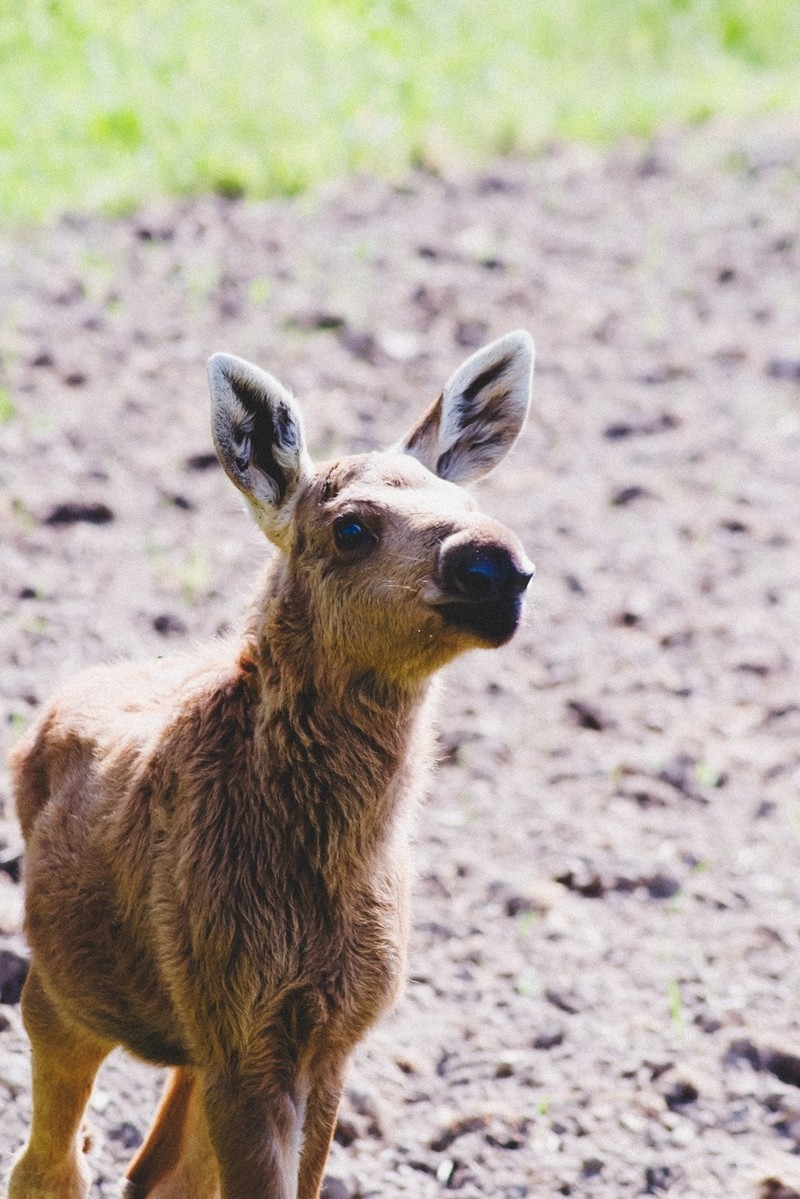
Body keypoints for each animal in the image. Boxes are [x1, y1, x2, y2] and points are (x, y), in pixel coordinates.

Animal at [9, 330, 534, 1199]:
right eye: (351, 527)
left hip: (189, 1035)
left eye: (469, 504)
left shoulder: (323, 1036)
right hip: (60, 996)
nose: (498, 564)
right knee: (51, 1164)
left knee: (155, 1170)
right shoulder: (247, 1033)